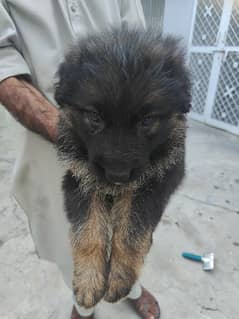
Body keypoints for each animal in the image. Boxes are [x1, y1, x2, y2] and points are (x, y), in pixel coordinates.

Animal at [55, 27, 191, 310]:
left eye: (147, 120)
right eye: (94, 117)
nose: (117, 176)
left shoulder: (158, 179)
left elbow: (131, 230)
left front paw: (119, 278)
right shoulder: (79, 177)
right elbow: (88, 230)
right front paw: (88, 281)